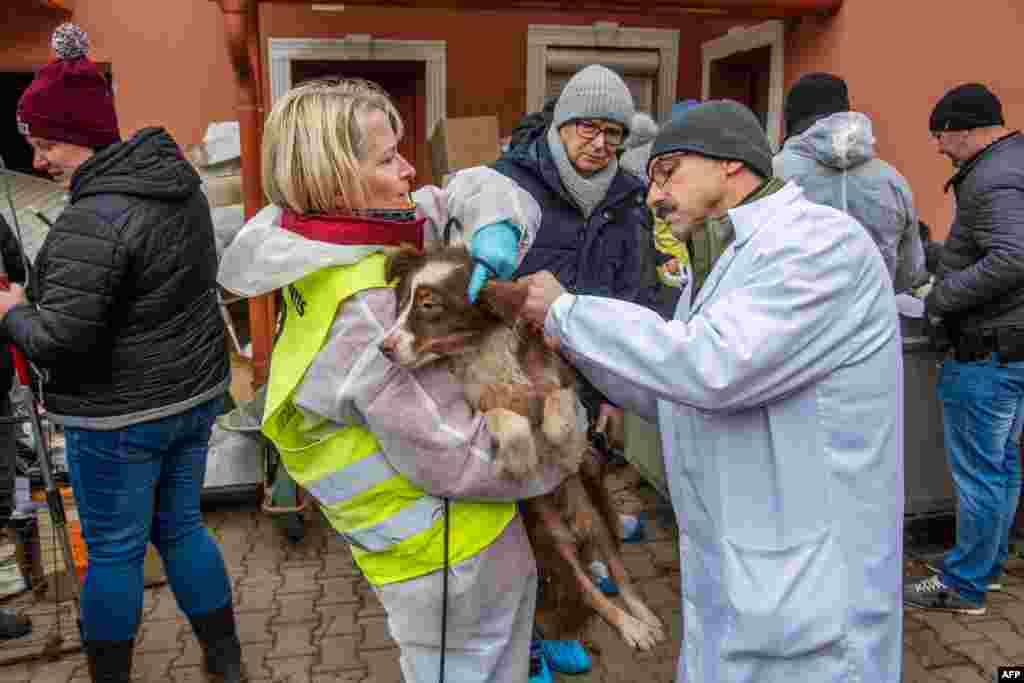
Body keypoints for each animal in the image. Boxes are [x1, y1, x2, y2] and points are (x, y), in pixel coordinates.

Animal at [376, 242, 663, 651]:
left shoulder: (558, 379)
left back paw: (643, 619)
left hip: (594, 511)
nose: (383, 347)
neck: (481, 349)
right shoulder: (480, 406)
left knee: (619, 573)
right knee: (590, 591)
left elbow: (558, 399)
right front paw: (522, 455)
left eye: (429, 306)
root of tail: (575, 530)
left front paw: (561, 439)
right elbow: (506, 420)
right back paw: (629, 625)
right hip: (550, 541)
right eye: (401, 304)